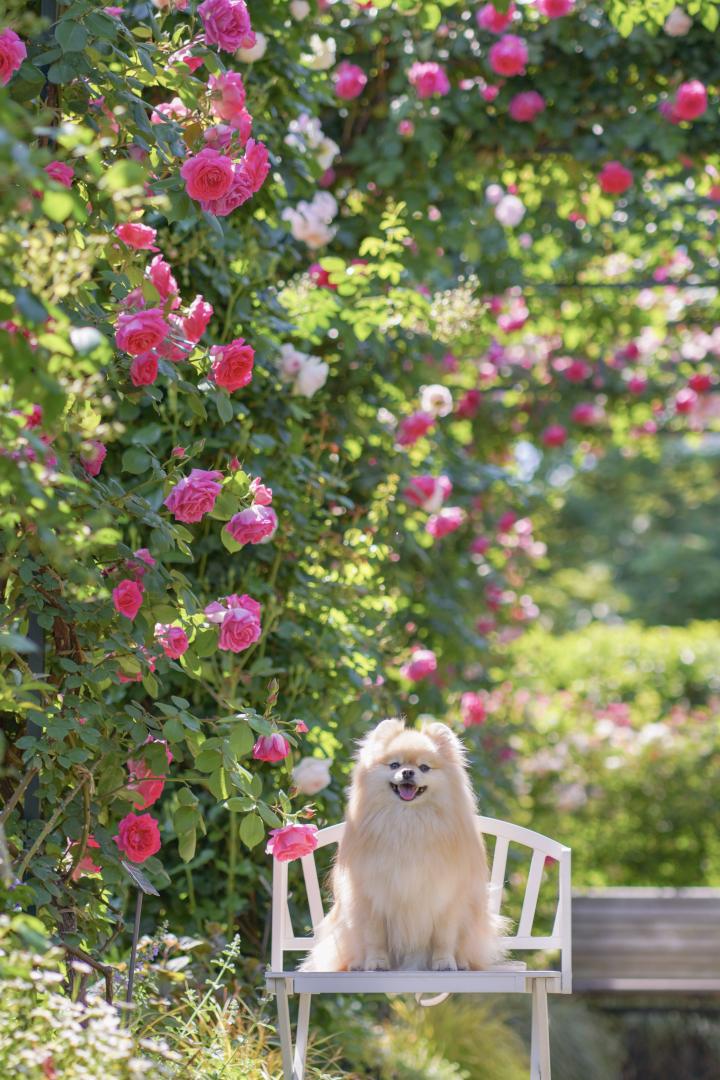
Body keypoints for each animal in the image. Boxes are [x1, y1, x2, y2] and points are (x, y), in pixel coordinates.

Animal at [302, 717, 505, 972]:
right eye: (394, 765)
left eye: (424, 767)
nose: (408, 772)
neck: (408, 820)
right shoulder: (371, 895)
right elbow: (375, 935)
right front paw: (376, 962)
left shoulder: (447, 896)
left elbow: (444, 936)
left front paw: (444, 962)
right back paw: (358, 964)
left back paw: (462, 962)